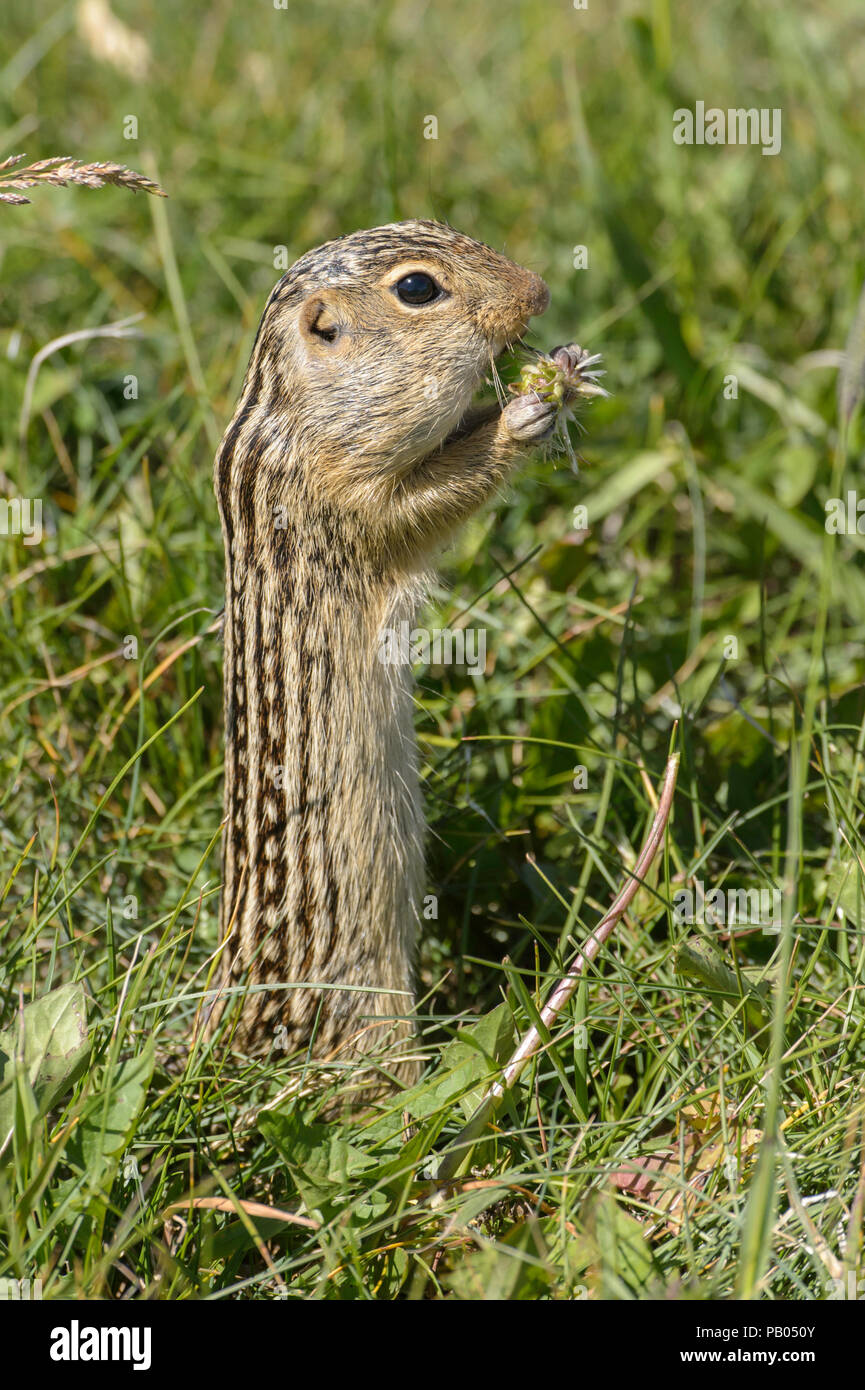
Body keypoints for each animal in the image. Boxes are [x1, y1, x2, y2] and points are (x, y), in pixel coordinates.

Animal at [212, 216, 559, 1095]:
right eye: (416, 288)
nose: (538, 291)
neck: (287, 416)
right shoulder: (349, 497)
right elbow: (430, 496)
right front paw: (524, 415)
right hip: (370, 1013)